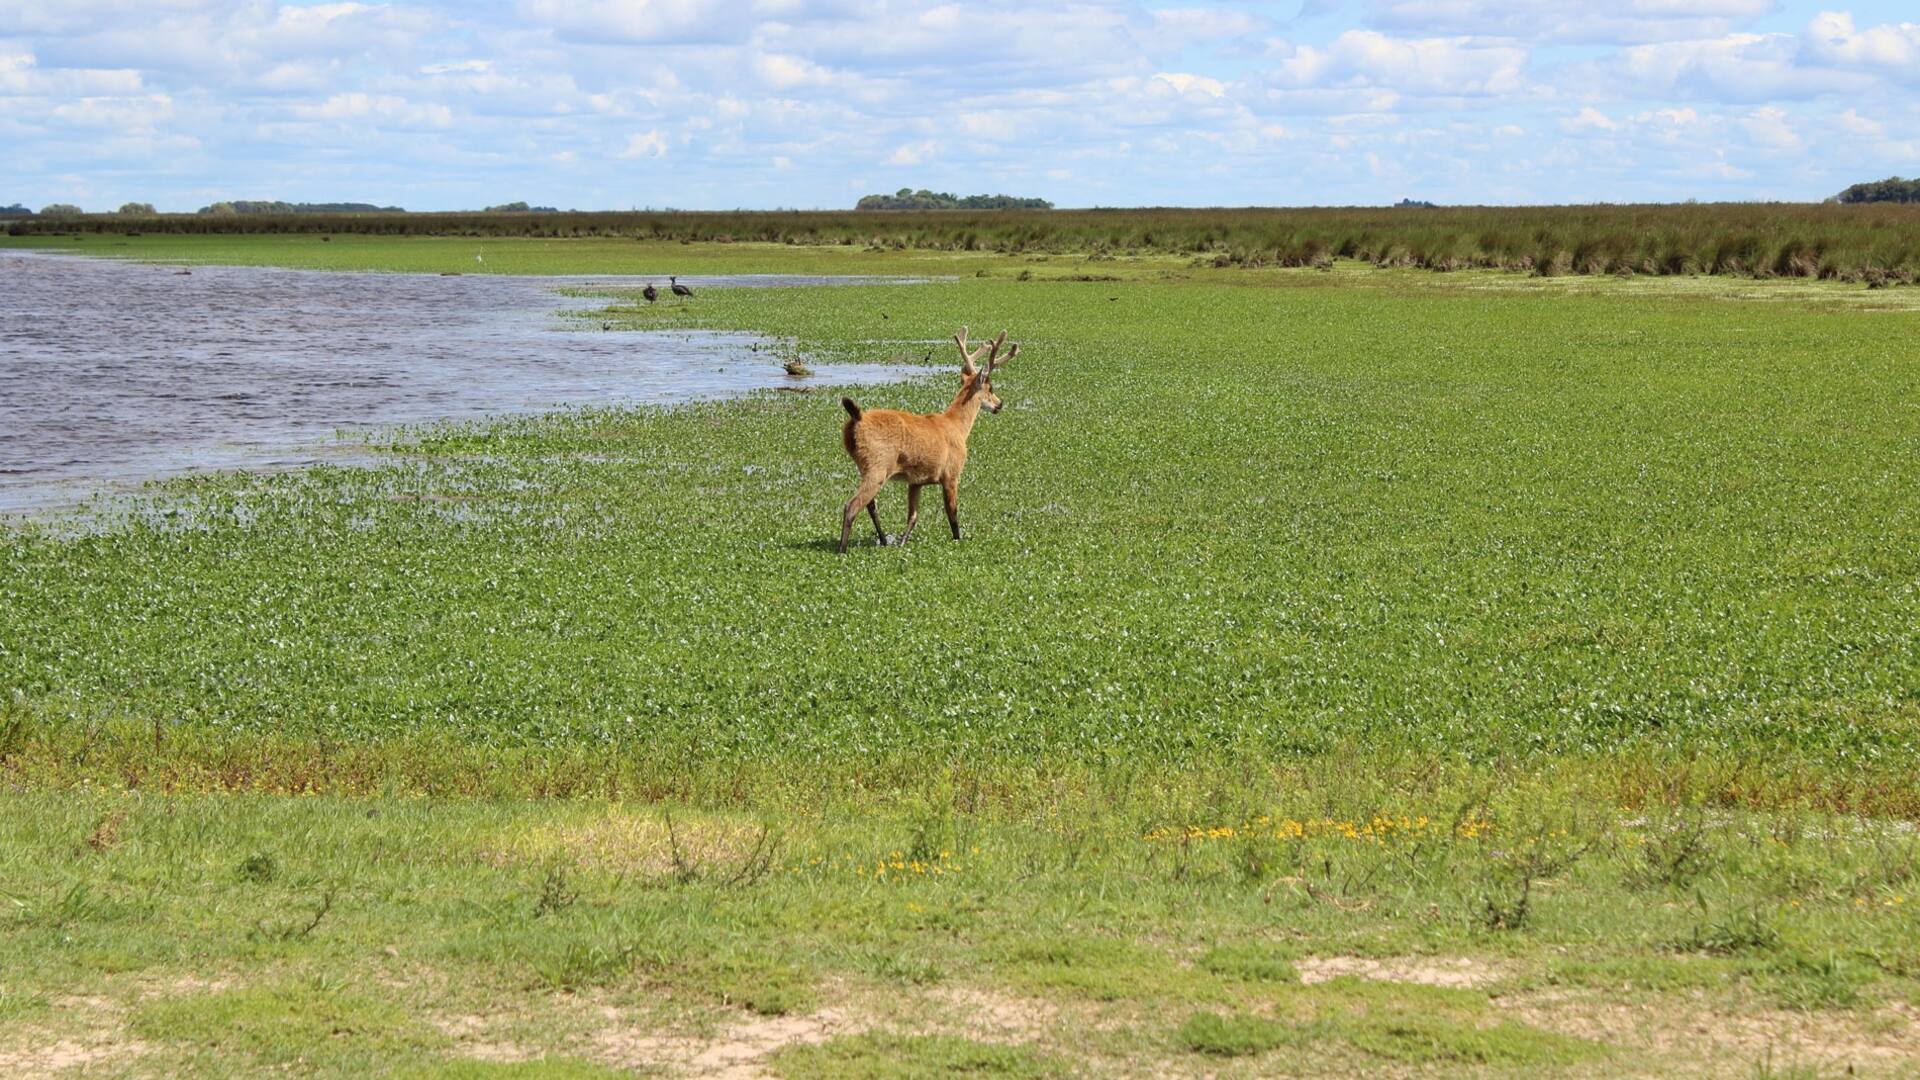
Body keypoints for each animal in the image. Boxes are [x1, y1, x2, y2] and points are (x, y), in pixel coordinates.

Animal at [837, 326, 1019, 554]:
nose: (999, 404)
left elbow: (913, 517)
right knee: (851, 505)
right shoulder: (951, 474)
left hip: (865, 466)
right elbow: (952, 514)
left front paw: (902, 543)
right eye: (991, 388)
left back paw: (884, 540)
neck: (958, 427)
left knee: (870, 505)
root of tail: (856, 419)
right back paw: (842, 550)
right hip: (878, 463)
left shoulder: (916, 481)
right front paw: (958, 540)